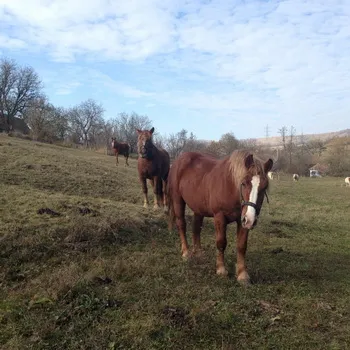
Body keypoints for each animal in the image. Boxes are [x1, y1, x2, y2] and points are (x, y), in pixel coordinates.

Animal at [167, 150, 274, 284]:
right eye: (244, 183)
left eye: (264, 187)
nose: (251, 219)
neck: (231, 186)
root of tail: (178, 160)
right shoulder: (220, 217)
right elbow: (221, 242)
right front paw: (221, 269)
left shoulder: (242, 220)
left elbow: (242, 245)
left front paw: (242, 274)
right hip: (178, 201)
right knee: (181, 224)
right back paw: (186, 253)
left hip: (198, 208)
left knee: (196, 228)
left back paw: (198, 253)